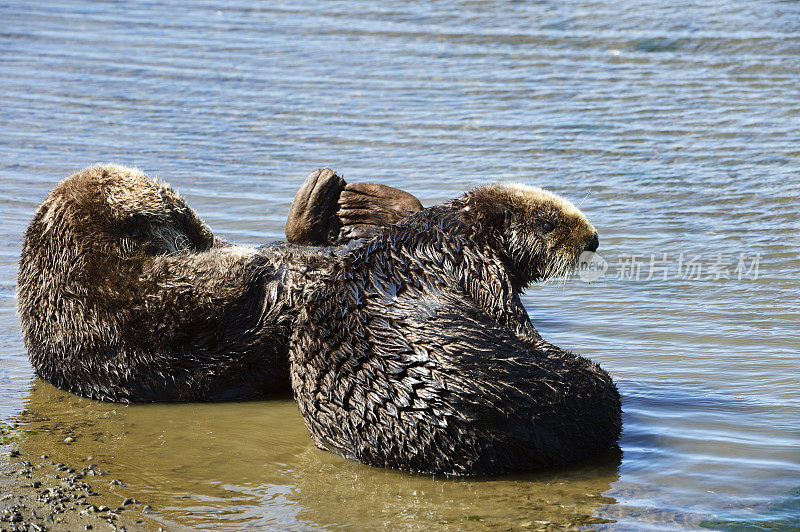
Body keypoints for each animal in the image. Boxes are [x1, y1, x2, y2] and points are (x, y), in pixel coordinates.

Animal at [15, 164, 422, 402]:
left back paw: (347, 200)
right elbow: (207, 286)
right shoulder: (122, 306)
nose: (195, 225)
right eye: (178, 214)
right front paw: (252, 261)